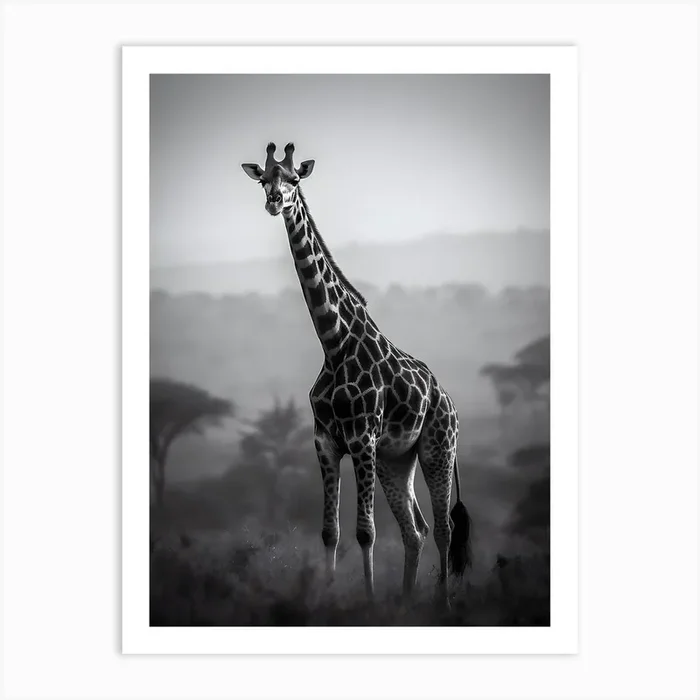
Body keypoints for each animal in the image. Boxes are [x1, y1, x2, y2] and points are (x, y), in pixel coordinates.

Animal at [241, 143, 472, 605]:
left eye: (295, 179)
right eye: (264, 180)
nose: (275, 201)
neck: (333, 343)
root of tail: (450, 402)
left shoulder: (362, 437)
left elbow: (366, 531)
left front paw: (367, 602)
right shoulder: (326, 442)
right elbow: (329, 532)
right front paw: (329, 598)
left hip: (437, 449)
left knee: (442, 527)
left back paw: (442, 603)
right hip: (396, 460)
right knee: (415, 530)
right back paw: (405, 600)